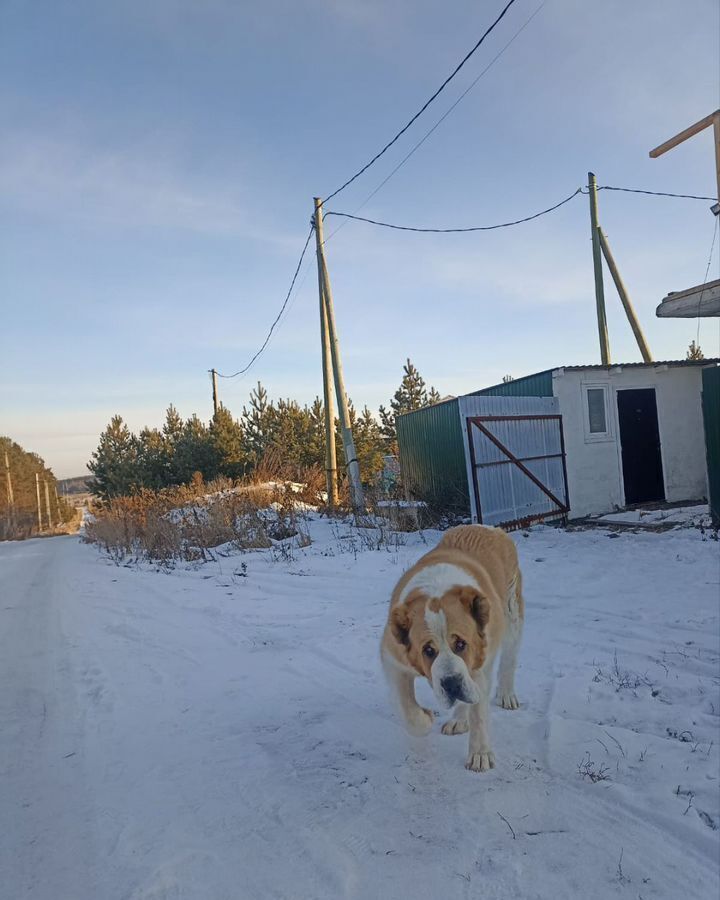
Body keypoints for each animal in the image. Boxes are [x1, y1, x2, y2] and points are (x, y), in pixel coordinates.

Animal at [382, 524, 524, 768]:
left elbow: (479, 714)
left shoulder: (477, 663)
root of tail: (488, 527)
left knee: (508, 658)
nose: (451, 683)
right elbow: (407, 707)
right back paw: (458, 720)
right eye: (428, 650)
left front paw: (480, 754)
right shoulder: (393, 659)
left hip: (512, 614)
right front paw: (425, 718)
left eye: (460, 644)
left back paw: (506, 695)